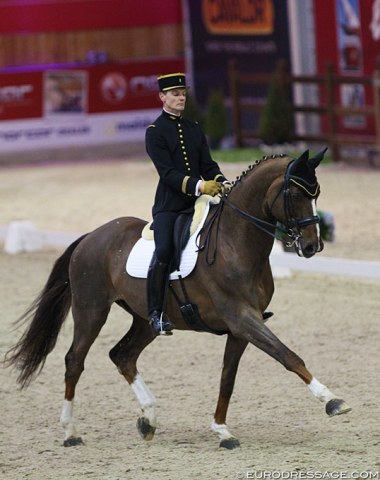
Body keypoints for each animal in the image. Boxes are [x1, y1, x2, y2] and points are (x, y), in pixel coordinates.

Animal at [5, 150, 350, 450]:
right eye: (295, 194)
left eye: (317, 194)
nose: (311, 247)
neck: (235, 244)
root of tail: (90, 237)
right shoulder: (242, 318)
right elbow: (288, 356)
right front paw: (332, 401)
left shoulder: (241, 328)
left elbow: (228, 378)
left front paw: (222, 431)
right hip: (91, 310)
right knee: (74, 361)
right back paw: (71, 432)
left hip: (146, 319)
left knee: (123, 355)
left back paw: (148, 418)